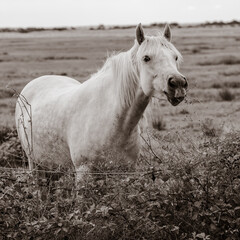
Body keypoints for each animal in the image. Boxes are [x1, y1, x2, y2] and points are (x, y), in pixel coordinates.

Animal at [15, 23, 188, 180]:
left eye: (175, 57)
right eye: (146, 58)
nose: (178, 83)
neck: (113, 122)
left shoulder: (125, 173)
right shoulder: (83, 172)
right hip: (34, 165)